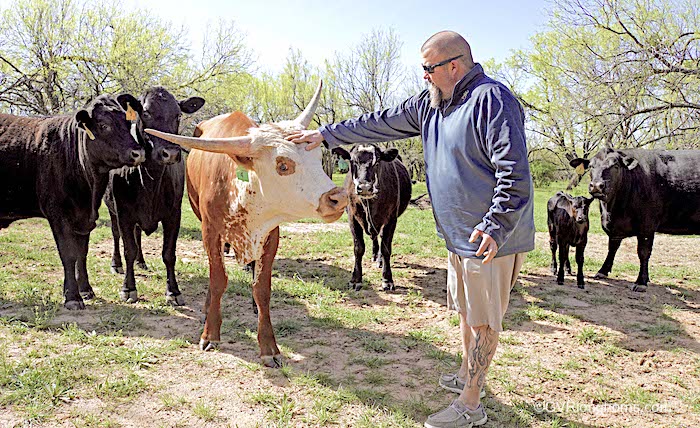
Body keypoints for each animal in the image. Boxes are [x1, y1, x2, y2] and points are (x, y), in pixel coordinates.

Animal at [0, 94, 145, 308]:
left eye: (128, 123)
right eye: (104, 125)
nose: (138, 153)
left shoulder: (85, 219)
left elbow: (81, 254)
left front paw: (86, 289)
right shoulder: (58, 215)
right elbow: (68, 255)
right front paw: (72, 297)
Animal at [103, 86, 205, 304]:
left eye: (178, 115)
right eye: (146, 113)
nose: (171, 153)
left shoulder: (174, 214)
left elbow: (168, 253)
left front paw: (173, 291)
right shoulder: (124, 213)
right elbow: (128, 249)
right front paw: (128, 288)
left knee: (138, 235)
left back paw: (141, 261)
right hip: (111, 209)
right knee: (116, 236)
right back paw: (116, 264)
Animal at [332, 144, 410, 290]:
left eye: (378, 162)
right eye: (352, 161)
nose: (364, 187)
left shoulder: (391, 219)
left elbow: (386, 249)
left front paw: (387, 279)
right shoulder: (352, 218)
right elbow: (358, 248)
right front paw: (356, 279)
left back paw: (379, 260)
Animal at [572, 147, 700, 290]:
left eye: (615, 166)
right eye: (591, 166)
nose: (596, 186)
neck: (613, 210)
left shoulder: (647, 226)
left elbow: (643, 252)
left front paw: (641, 282)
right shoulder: (615, 227)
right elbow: (612, 247)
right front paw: (602, 271)